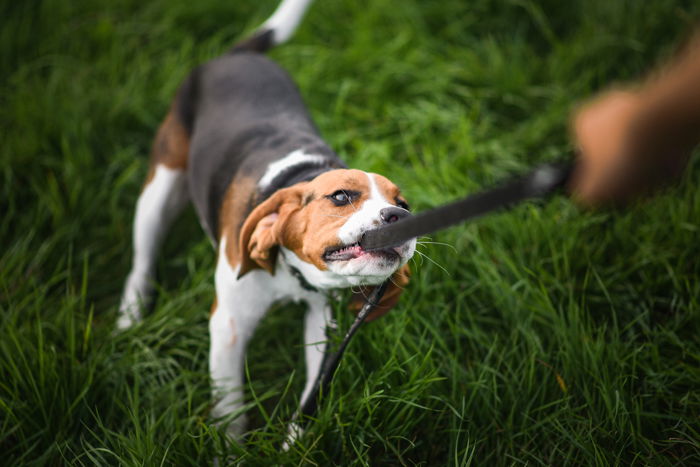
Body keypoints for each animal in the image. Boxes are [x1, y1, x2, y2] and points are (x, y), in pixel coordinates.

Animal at [117, 0, 416, 440]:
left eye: (403, 202)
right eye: (341, 196)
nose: (400, 216)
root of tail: (237, 56)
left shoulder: (322, 322)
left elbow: (310, 397)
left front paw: (296, 444)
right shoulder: (228, 323)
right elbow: (230, 407)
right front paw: (231, 448)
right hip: (160, 187)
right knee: (142, 259)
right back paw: (131, 312)